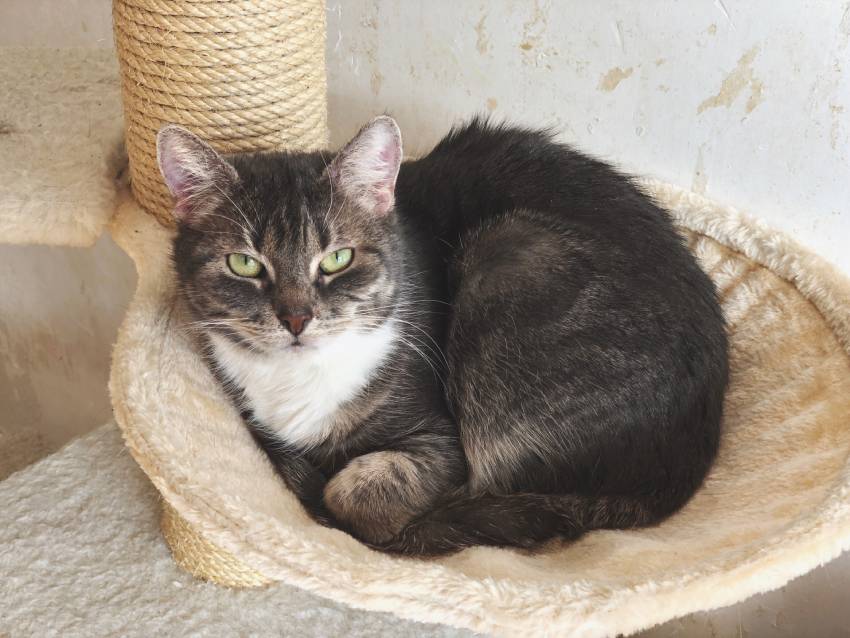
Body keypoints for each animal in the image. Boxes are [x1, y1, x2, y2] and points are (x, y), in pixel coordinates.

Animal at [156, 117, 724, 556]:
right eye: (244, 264)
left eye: (338, 259)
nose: (297, 318)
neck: (298, 384)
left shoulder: (440, 441)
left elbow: (354, 493)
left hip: (510, 258)